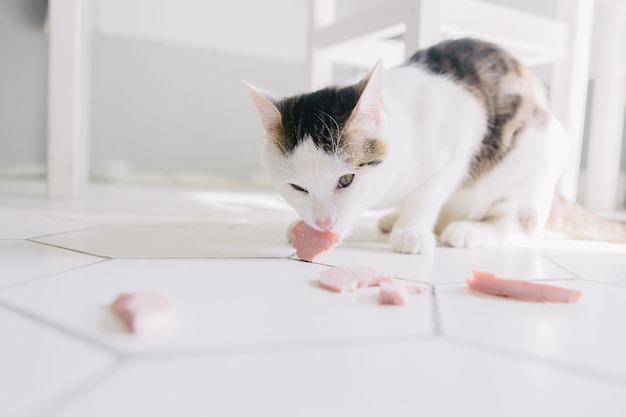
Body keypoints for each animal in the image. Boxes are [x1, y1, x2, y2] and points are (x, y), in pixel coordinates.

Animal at [245, 38, 624, 254]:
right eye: (297, 188)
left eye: (346, 180)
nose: (323, 224)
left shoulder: (462, 134)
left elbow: (427, 193)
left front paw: (412, 230)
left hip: (531, 160)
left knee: (520, 227)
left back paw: (466, 230)